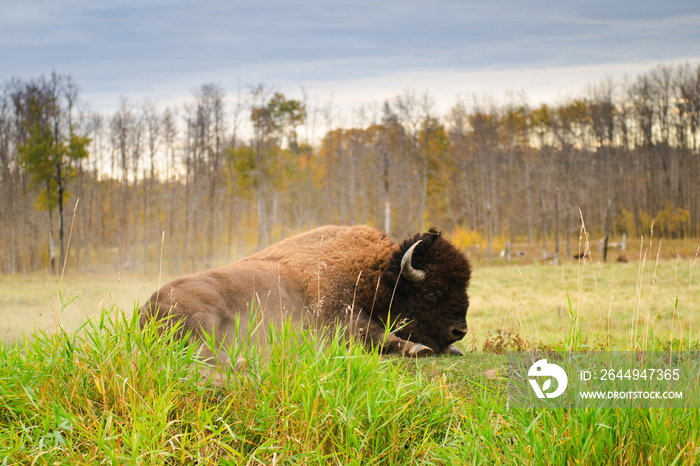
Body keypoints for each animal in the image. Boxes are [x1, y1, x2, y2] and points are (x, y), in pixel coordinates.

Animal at [139, 224, 474, 362]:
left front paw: (451, 349)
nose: (460, 331)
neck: (376, 276)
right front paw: (418, 348)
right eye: (432, 293)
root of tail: (145, 309)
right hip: (206, 318)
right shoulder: (340, 321)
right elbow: (377, 334)